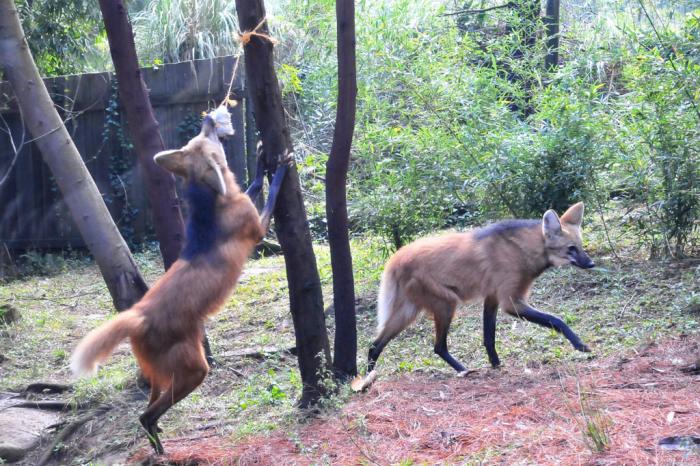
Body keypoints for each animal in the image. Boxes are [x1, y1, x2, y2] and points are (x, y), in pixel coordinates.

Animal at [71, 110, 290, 456]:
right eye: (203, 138)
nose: (208, 119)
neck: (211, 205)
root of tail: (137, 315)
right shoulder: (257, 230)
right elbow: (269, 194)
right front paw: (281, 166)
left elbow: (254, 185)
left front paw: (259, 158)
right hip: (195, 370)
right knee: (145, 414)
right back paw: (160, 448)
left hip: (159, 370)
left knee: (150, 401)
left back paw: (157, 438)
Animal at [360, 203, 596, 382]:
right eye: (571, 248)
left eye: (581, 246)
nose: (591, 264)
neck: (522, 250)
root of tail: (396, 258)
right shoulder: (511, 301)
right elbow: (556, 320)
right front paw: (580, 344)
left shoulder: (492, 297)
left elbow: (489, 336)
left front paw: (496, 364)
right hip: (446, 303)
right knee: (438, 346)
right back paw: (463, 370)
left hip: (409, 311)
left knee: (375, 344)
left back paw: (367, 378)